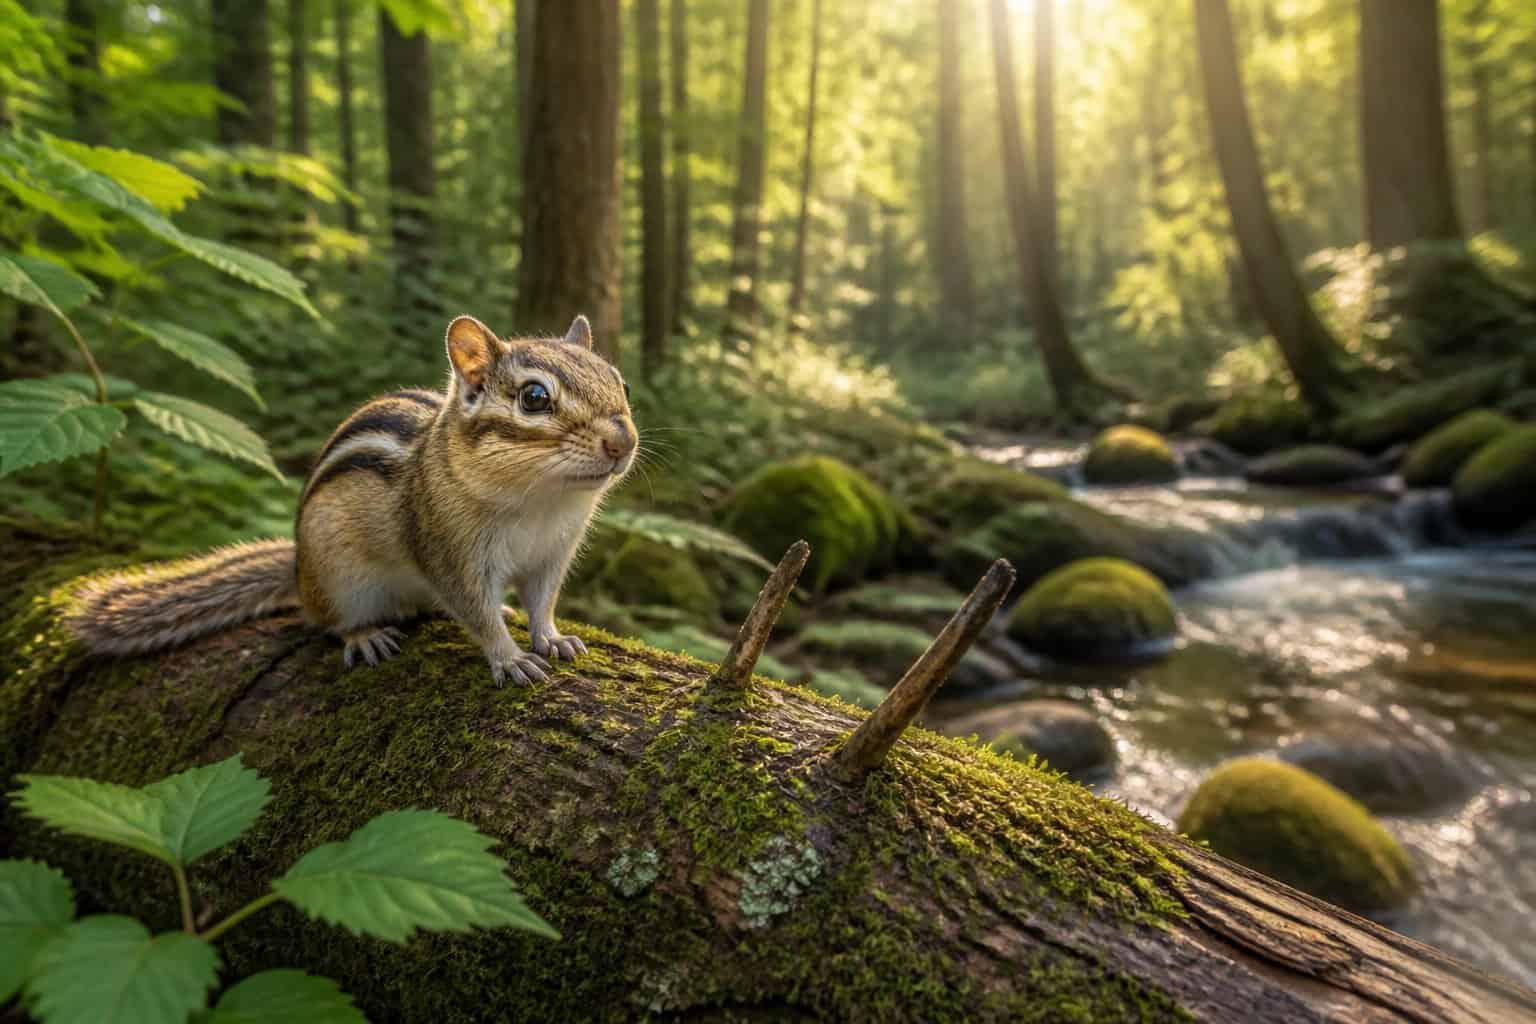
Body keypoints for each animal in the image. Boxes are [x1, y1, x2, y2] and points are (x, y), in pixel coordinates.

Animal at [65, 313, 638, 686]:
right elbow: (474, 612)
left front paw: (552, 637)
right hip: (342, 579)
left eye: (620, 382)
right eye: (534, 398)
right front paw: (508, 656)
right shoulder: (448, 554)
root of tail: (298, 570)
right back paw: (364, 636)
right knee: (331, 621)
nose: (624, 442)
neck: (541, 502)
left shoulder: (552, 555)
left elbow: (542, 603)